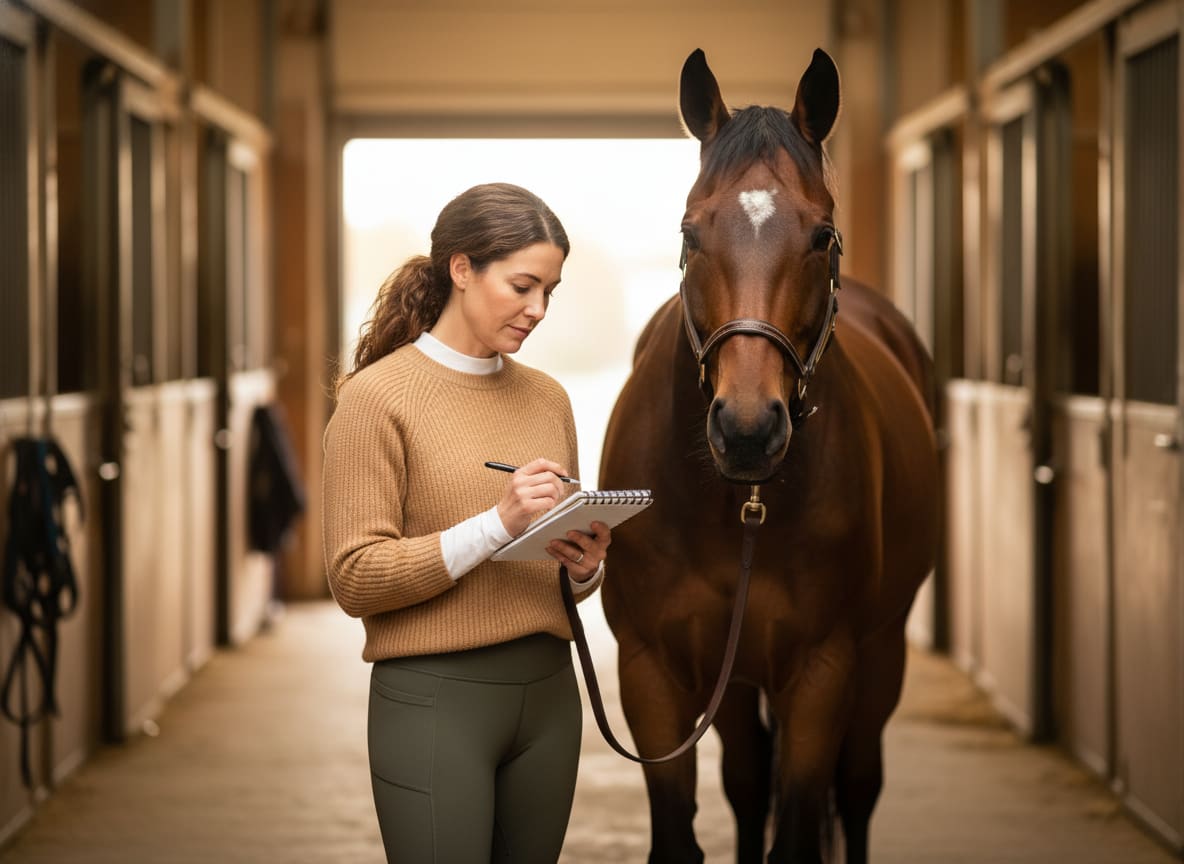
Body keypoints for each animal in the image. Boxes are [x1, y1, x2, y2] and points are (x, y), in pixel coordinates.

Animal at [598, 48, 940, 864]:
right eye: (690, 233)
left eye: (822, 236)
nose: (749, 429)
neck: (731, 506)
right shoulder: (653, 672)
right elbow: (683, 828)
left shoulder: (822, 673)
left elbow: (802, 828)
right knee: (750, 786)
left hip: (880, 656)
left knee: (857, 788)